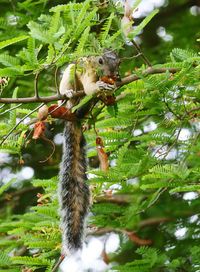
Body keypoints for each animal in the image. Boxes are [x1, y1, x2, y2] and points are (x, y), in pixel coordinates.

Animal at [58, 49, 120, 255]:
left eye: (119, 61)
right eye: (100, 61)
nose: (112, 73)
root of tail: (73, 113)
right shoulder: (88, 73)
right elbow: (89, 87)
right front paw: (100, 86)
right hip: (69, 78)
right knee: (70, 87)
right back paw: (68, 93)